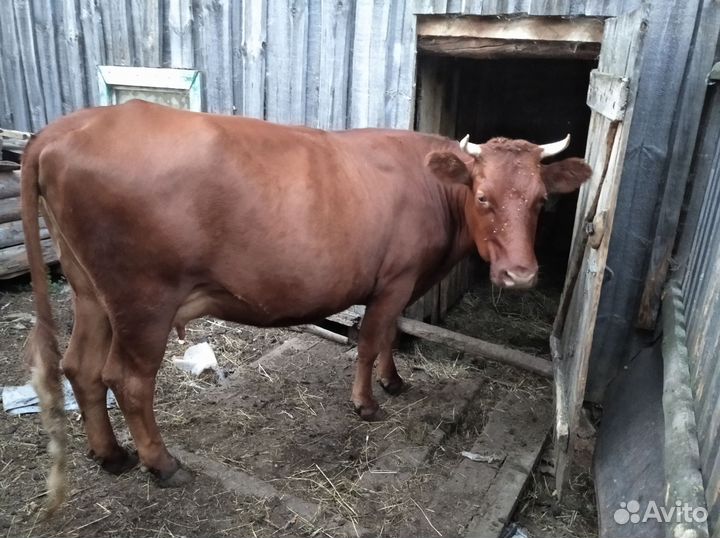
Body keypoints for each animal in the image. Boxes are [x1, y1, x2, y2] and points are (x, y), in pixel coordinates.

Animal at [21, 100, 591, 511]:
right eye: (483, 196)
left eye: (541, 200)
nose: (520, 274)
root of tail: (64, 128)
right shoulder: (395, 279)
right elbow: (371, 339)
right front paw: (367, 403)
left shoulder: (404, 283)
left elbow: (390, 336)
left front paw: (394, 381)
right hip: (144, 300)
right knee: (129, 380)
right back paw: (161, 464)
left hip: (91, 292)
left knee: (81, 367)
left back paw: (110, 454)